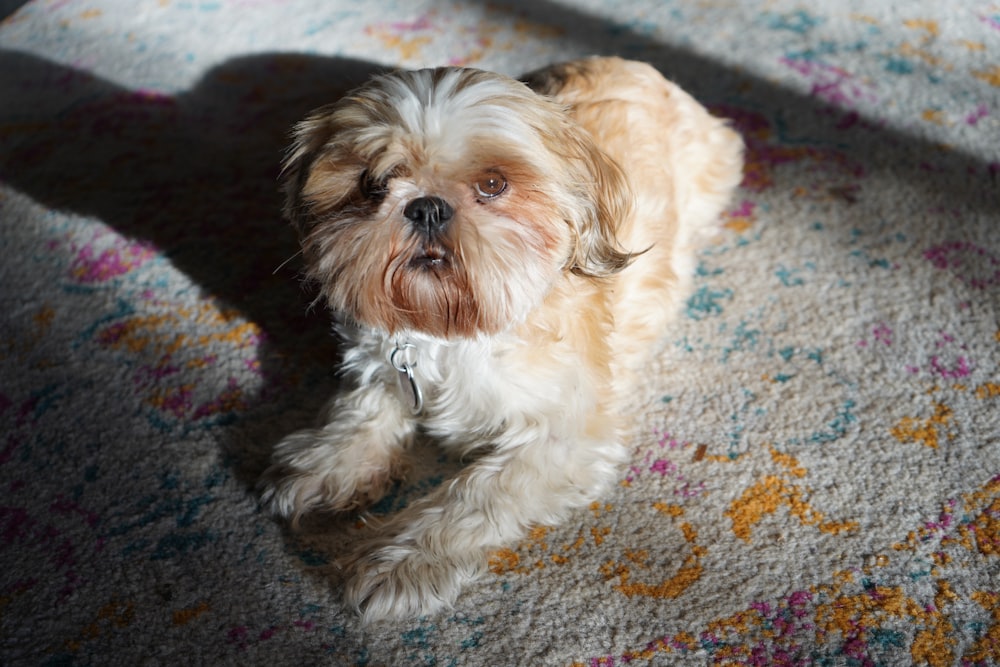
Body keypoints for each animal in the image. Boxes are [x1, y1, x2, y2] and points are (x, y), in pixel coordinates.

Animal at [258, 54, 744, 624]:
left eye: (493, 184)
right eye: (374, 184)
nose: (426, 206)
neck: (453, 334)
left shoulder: (565, 440)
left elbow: (475, 496)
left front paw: (401, 563)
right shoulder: (381, 361)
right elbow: (362, 411)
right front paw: (327, 464)